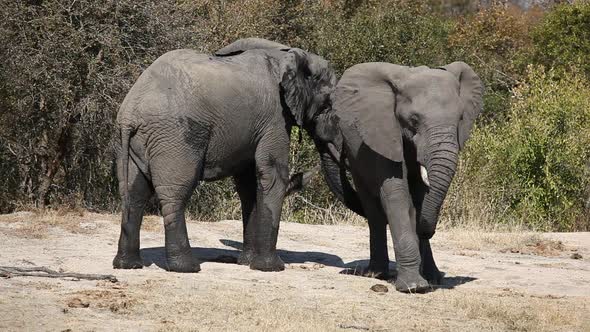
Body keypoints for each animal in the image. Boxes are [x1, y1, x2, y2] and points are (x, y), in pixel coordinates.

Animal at [113, 37, 338, 274]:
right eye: (327, 105)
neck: (287, 55)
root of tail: (130, 113)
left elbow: (248, 185)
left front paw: (247, 263)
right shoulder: (275, 118)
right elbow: (273, 175)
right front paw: (272, 268)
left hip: (128, 141)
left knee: (134, 194)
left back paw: (128, 265)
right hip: (175, 137)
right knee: (175, 193)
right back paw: (187, 268)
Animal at [314, 61, 486, 292]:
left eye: (460, 119)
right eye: (413, 120)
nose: (425, 231)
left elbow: (419, 198)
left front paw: (425, 281)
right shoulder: (384, 133)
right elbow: (398, 194)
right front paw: (414, 287)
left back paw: (432, 277)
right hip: (356, 154)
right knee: (374, 210)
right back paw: (376, 274)